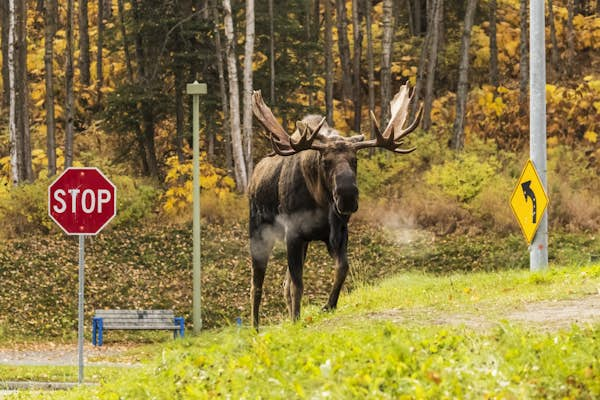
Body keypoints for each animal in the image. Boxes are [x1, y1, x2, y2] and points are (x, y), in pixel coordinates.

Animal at [248, 83, 422, 328]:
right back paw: (255, 327)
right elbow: (298, 284)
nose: (347, 196)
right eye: (325, 161)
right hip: (259, 231)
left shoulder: (337, 232)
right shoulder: (293, 233)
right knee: (257, 284)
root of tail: (253, 178)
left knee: (283, 283)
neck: (319, 202)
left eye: (355, 160)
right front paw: (297, 320)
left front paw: (328, 305)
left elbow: (341, 268)